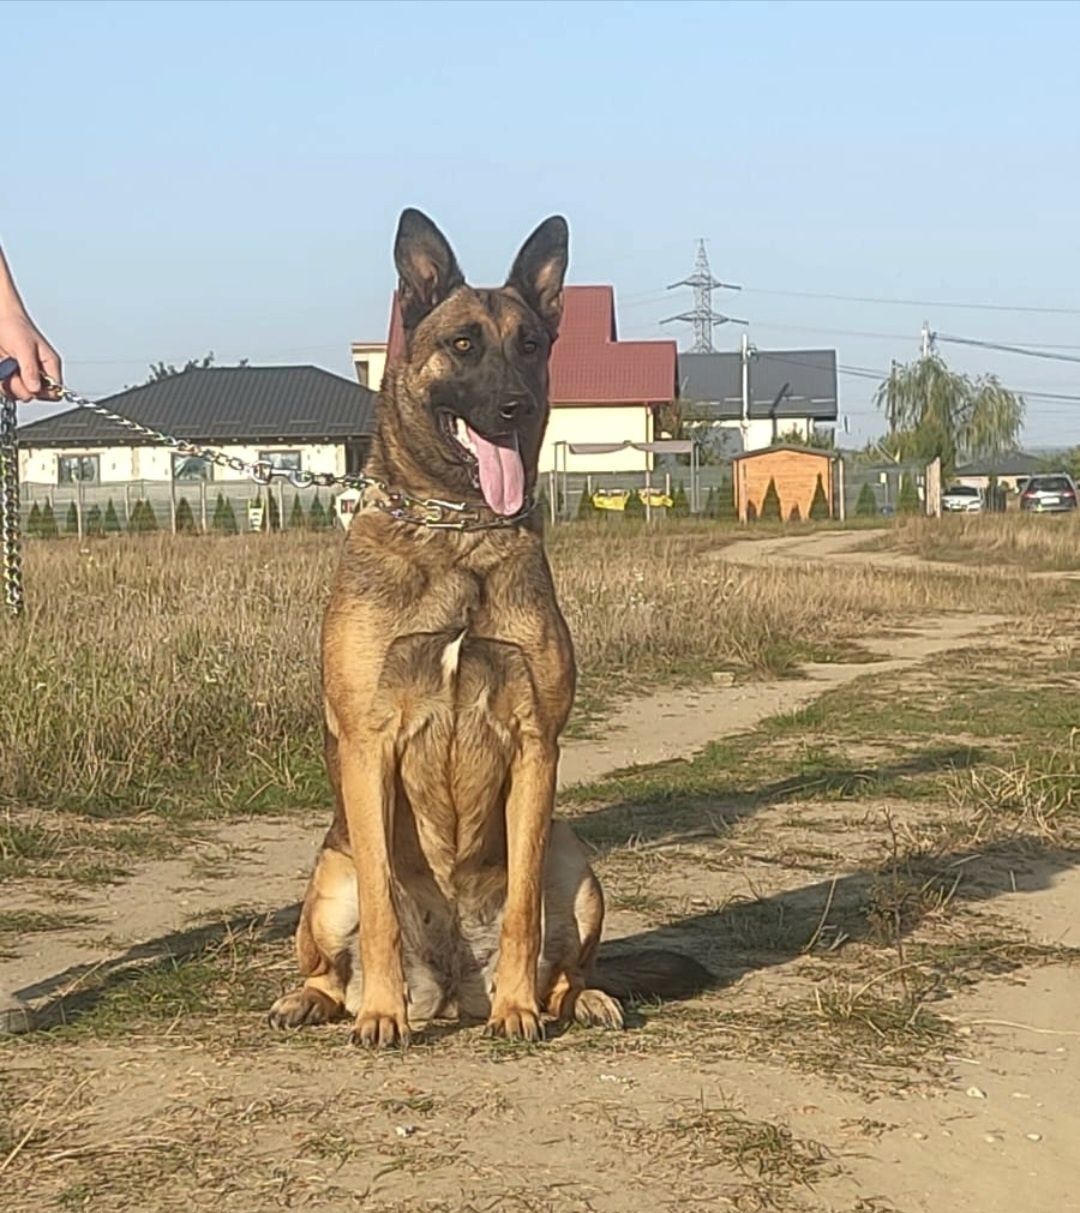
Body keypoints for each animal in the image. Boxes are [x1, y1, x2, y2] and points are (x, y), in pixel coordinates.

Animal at [268, 208, 708, 1043]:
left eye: (530, 345)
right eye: (465, 344)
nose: (515, 407)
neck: (459, 530)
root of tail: (449, 986)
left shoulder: (537, 744)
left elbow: (522, 910)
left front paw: (517, 1009)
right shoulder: (369, 743)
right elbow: (382, 909)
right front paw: (382, 1013)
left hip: (576, 856)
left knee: (566, 962)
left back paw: (570, 999)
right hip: (330, 871)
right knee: (330, 963)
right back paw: (319, 1000)